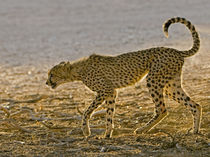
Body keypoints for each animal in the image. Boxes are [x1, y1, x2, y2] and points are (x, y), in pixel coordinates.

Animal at [46, 16, 202, 138]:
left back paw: (141, 129)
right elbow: (109, 114)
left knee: (162, 110)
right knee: (195, 105)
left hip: (153, 80)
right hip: (171, 86)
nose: (47, 82)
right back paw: (195, 131)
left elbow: (87, 111)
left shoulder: (105, 90)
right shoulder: (111, 92)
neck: (77, 70)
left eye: (52, 74)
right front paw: (107, 134)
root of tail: (176, 51)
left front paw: (86, 131)